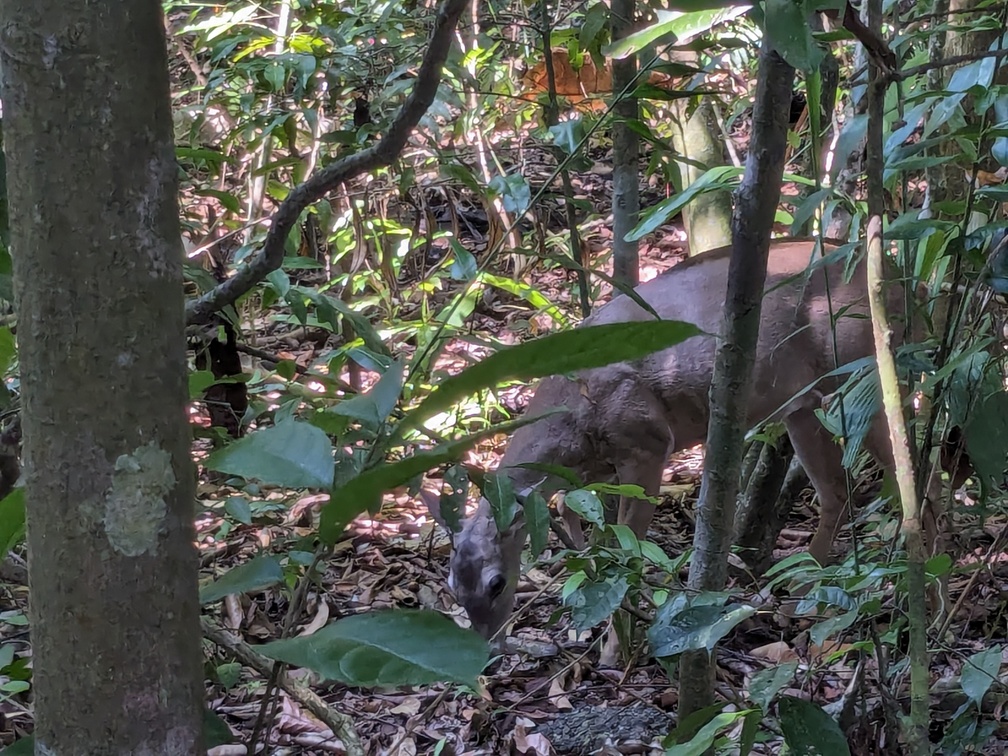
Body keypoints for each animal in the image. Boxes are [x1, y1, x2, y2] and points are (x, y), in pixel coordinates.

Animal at [425, 237, 915, 645]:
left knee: (905, 466)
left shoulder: (647, 442)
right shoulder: (597, 466)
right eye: (451, 585)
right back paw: (803, 595)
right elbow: (571, 511)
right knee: (836, 491)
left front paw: (617, 644)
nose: (488, 648)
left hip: (858, 368)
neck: (572, 414)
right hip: (802, 402)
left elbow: (630, 548)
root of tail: (905, 281)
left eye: (497, 582)